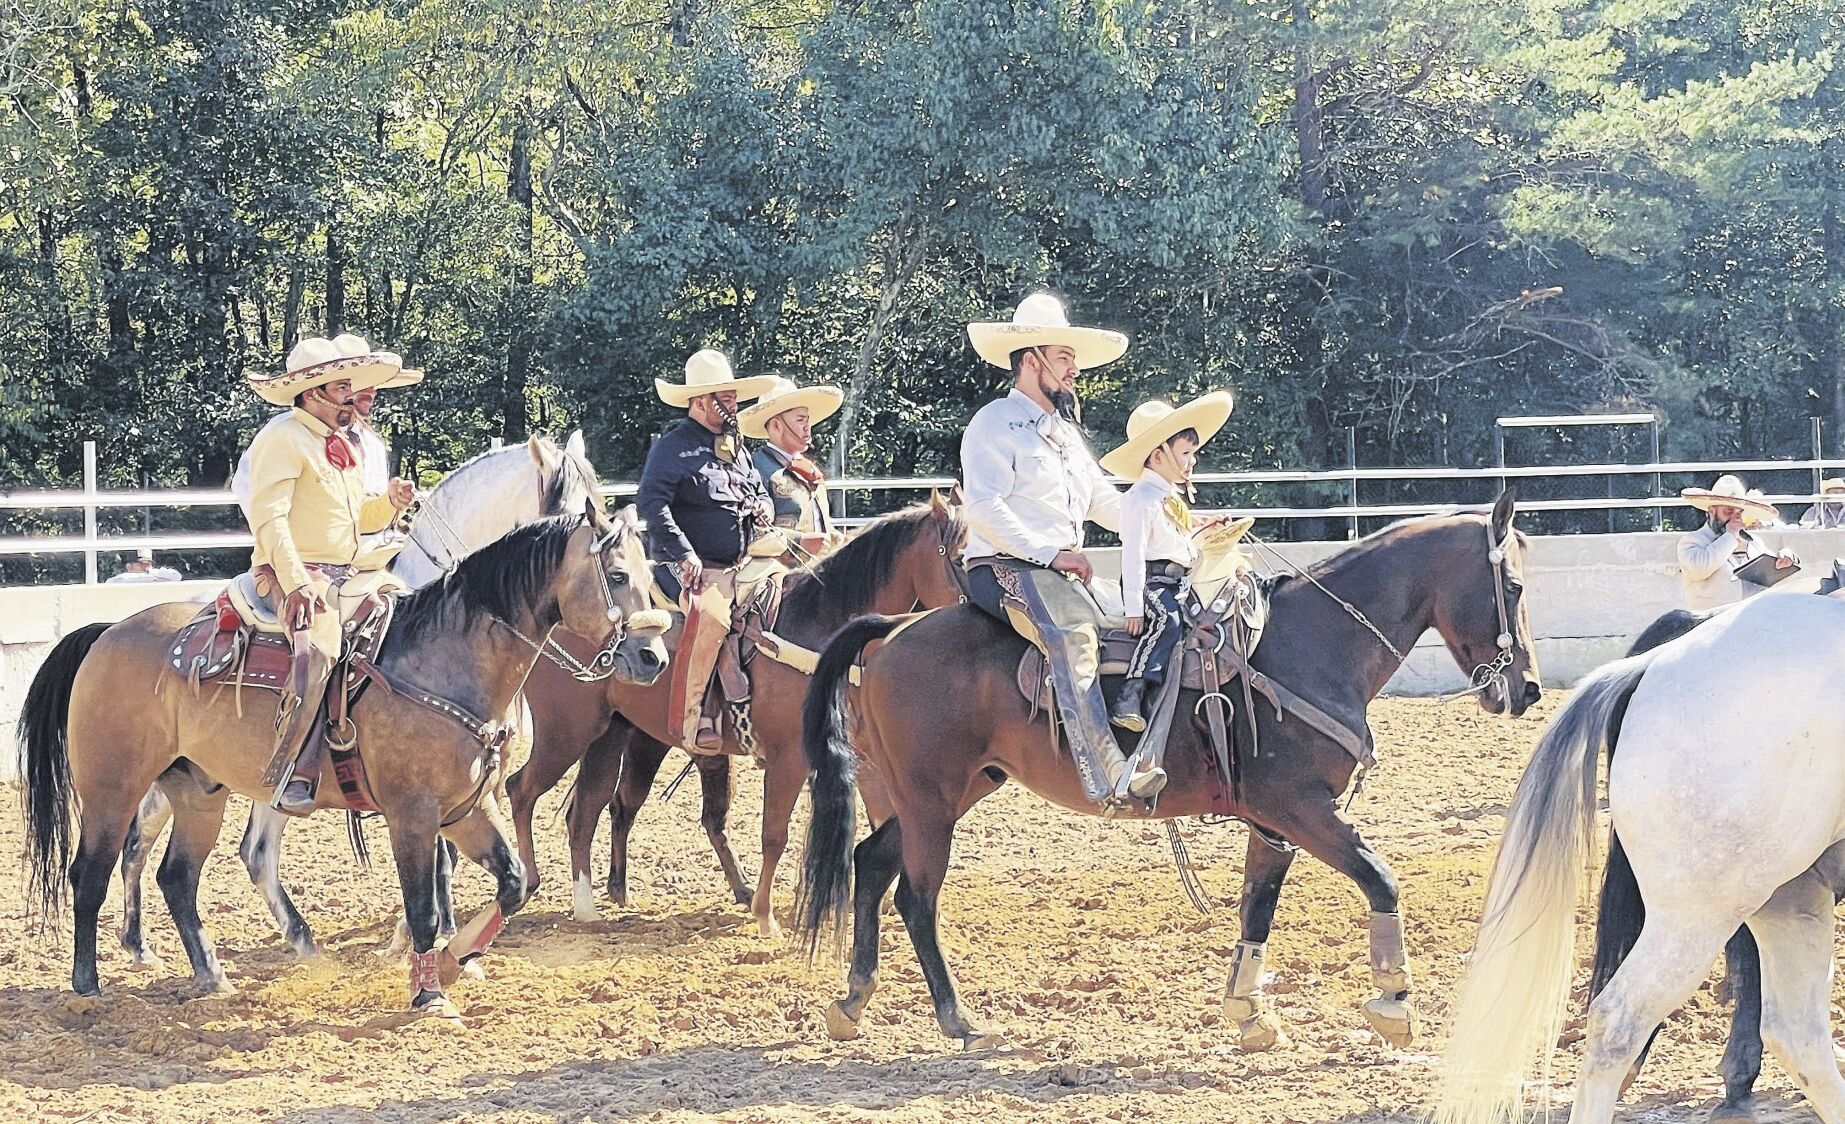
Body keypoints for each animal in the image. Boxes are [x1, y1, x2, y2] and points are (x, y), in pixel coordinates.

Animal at [17, 505, 667, 1011]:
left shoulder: (464, 810)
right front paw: (429, 993)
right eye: (616, 574)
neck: (445, 662)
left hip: (199, 791)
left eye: (649, 575)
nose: (653, 656)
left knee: (177, 876)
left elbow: (513, 884)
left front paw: (455, 962)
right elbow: (424, 905)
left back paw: (215, 975)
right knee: (91, 871)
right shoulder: (412, 815)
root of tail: (107, 630)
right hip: (113, 786)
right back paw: (88, 985)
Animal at [115, 433, 605, 959]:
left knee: (248, 852)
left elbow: (457, 850)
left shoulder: (476, 782)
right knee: (144, 838)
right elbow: (439, 856)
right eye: (568, 508)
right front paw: (423, 934)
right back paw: (139, 943)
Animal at [505, 487, 966, 933]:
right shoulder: (788, 758)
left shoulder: (862, 755)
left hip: (614, 735)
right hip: (566, 733)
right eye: (962, 557)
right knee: (521, 789)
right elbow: (774, 835)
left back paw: (595, 903)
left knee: (592, 809)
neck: (818, 627)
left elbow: (883, 816)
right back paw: (531, 884)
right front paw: (765, 917)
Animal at [793, 490, 1542, 1048]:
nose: (1528, 690)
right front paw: (1393, 1003)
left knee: (869, 864)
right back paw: (960, 1022)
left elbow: (1257, 907)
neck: (1310, 647)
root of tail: (889, 631)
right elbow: (1380, 878)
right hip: (931, 800)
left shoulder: (1274, 822)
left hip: (947, 793)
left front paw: (1248, 1012)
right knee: (915, 898)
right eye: (1511, 584)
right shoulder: (1302, 807)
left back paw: (852, 1000)